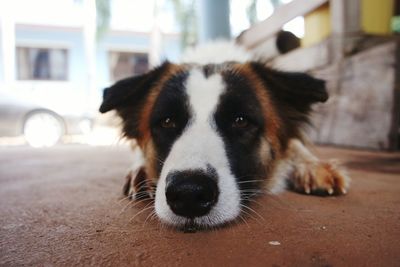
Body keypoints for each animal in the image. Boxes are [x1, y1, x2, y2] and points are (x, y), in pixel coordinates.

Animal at [99, 42, 350, 230]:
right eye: (167, 121)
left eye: (240, 120)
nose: (189, 194)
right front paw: (140, 170)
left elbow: (296, 145)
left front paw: (313, 167)